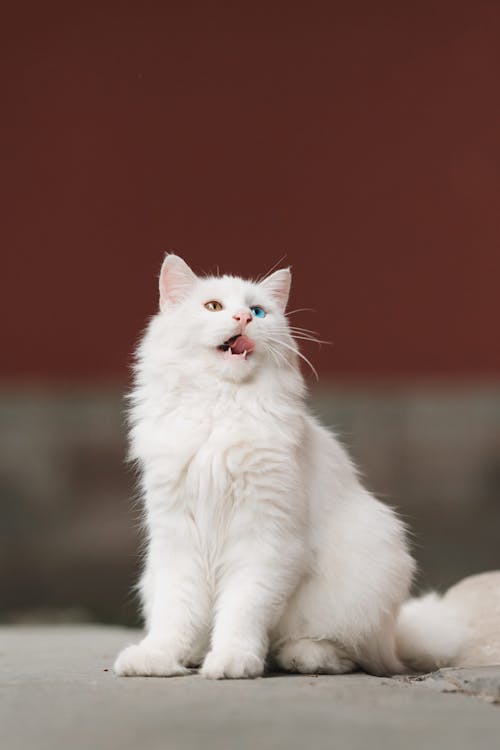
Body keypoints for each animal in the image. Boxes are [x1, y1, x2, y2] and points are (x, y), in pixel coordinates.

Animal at [113, 254, 464, 680]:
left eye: (258, 311)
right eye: (213, 306)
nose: (243, 318)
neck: (220, 407)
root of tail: (395, 640)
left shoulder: (265, 538)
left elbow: (241, 612)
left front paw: (232, 661)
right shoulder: (177, 534)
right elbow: (176, 613)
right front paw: (159, 658)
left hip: (366, 574)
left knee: (342, 650)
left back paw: (301, 656)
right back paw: (197, 655)